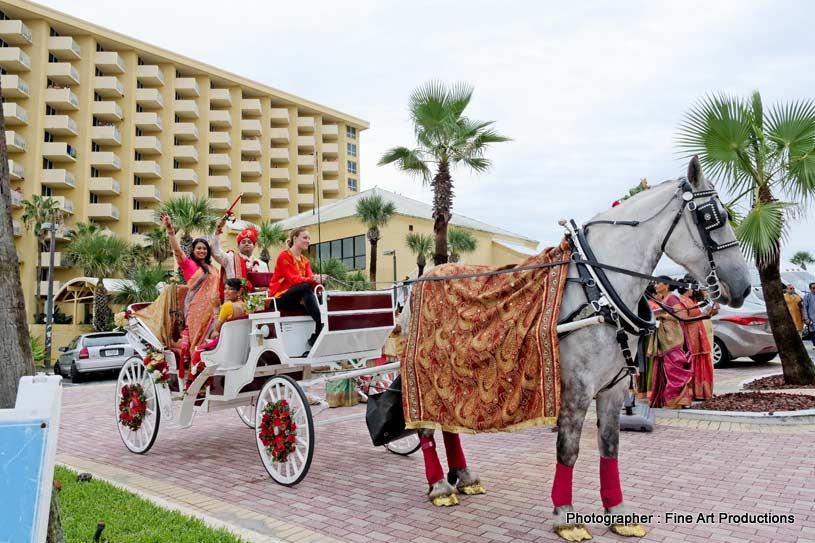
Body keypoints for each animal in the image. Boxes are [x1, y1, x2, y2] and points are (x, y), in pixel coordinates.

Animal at [402, 157, 752, 540]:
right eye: (713, 217)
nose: (744, 286)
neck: (599, 290)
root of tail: (418, 281)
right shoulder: (577, 388)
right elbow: (568, 449)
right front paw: (565, 515)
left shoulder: (614, 388)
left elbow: (609, 447)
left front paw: (618, 512)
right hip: (423, 369)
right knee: (426, 426)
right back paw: (440, 486)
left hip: (452, 374)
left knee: (447, 422)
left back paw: (463, 477)